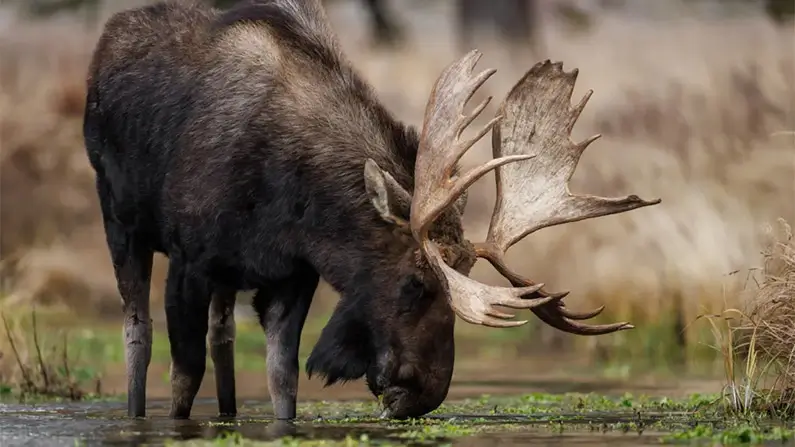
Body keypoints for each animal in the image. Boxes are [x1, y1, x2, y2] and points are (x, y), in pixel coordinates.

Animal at [83, 0, 659, 421]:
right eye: (415, 284)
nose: (424, 393)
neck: (289, 200)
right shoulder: (190, 262)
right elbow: (182, 380)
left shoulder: (291, 275)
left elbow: (281, 381)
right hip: (119, 221)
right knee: (137, 333)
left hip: (223, 277)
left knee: (221, 335)